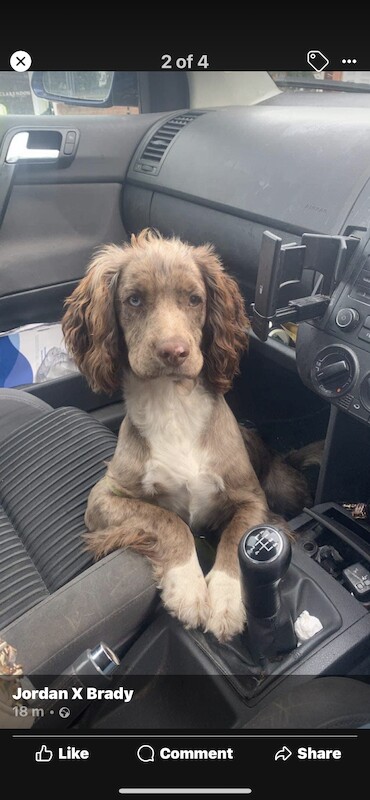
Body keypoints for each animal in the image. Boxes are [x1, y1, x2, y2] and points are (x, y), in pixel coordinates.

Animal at [62, 231, 306, 644]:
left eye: (194, 299)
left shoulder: (253, 499)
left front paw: (225, 598)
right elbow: (168, 520)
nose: (174, 351)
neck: (172, 404)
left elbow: (235, 539)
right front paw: (188, 586)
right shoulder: (103, 499)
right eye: (134, 300)